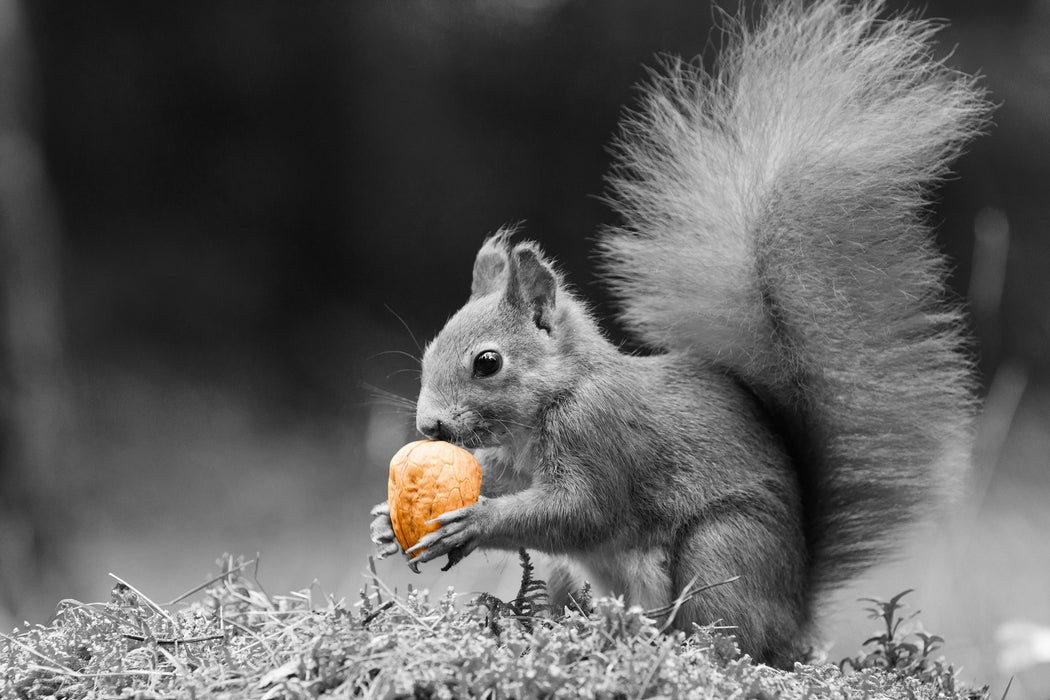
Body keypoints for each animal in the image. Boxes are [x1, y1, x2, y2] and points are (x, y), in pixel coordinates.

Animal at [371, 0, 991, 667]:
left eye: (487, 363)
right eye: (430, 352)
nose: (429, 426)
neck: (560, 394)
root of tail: (794, 614)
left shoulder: (601, 435)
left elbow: (581, 512)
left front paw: (474, 522)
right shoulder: (518, 460)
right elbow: (509, 482)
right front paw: (387, 520)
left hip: (722, 551)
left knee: (722, 633)